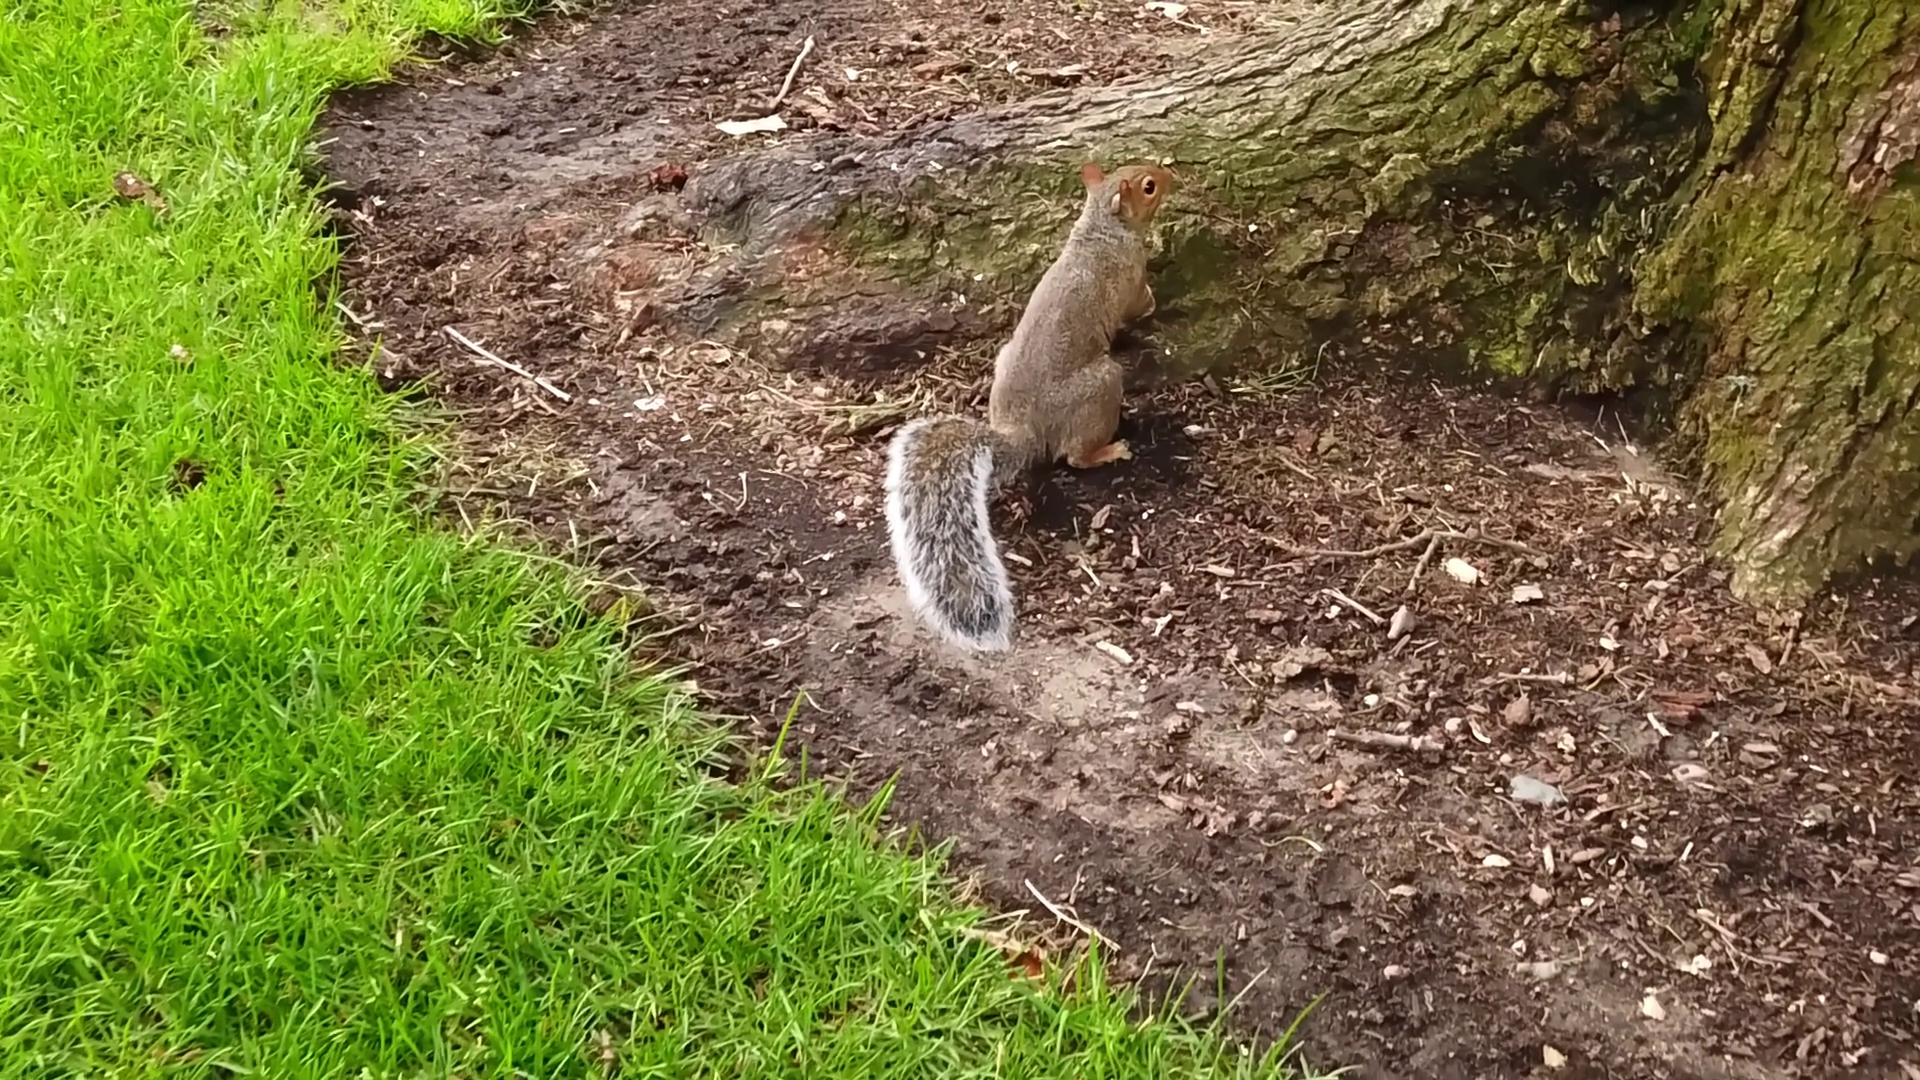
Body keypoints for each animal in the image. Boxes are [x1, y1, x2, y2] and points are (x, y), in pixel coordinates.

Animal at [884, 160, 1176, 652]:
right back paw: (1110, 450)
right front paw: (1157, 300)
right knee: (1075, 456)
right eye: (1149, 186)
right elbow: (1139, 302)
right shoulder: (1129, 277)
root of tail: (1019, 431)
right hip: (1101, 387)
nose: (1172, 176)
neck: (1100, 229)